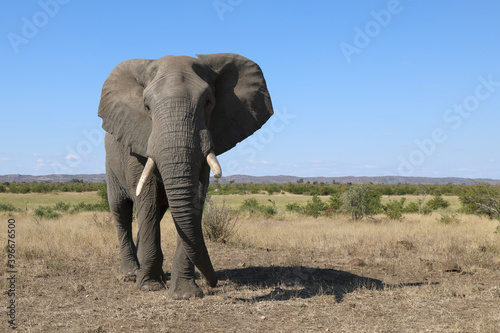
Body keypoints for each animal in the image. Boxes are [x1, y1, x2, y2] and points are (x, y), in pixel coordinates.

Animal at [97, 53, 274, 296]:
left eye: (208, 102)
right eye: (147, 106)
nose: (214, 282)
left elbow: (195, 196)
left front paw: (185, 293)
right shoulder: (136, 141)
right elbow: (147, 197)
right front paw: (150, 286)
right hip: (111, 164)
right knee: (121, 210)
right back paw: (131, 274)